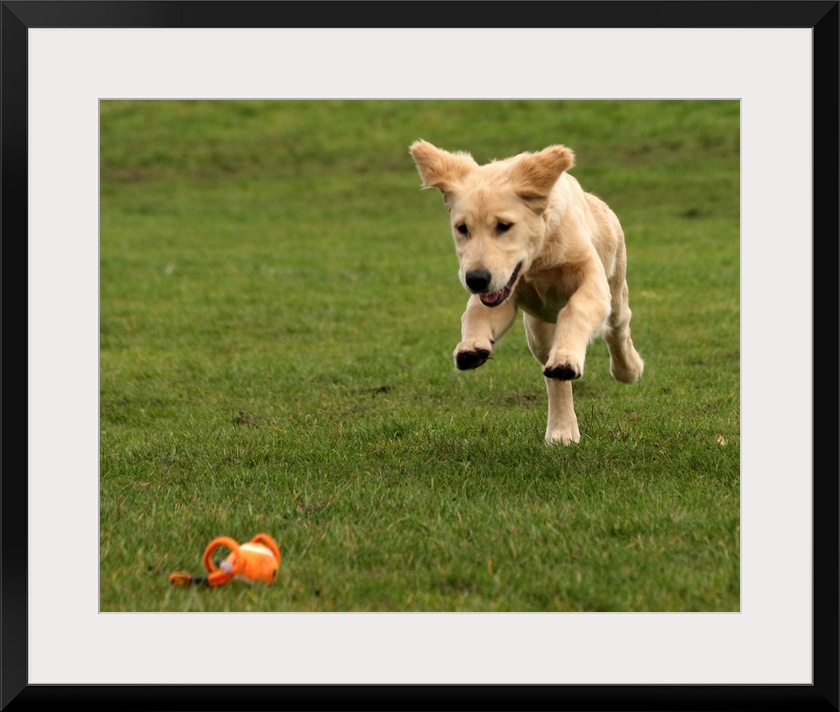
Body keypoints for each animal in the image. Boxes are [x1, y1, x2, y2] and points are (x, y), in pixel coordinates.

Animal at [409, 140, 644, 445]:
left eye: (504, 226)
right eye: (462, 228)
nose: (475, 280)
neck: (538, 258)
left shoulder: (592, 280)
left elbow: (577, 309)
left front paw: (569, 358)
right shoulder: (501, 291)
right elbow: (476, 314)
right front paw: (472, 347)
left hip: (615, 293)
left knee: (617, 329)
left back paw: (627, 369)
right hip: (537, 331)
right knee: (553, 376)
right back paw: (562, 430)